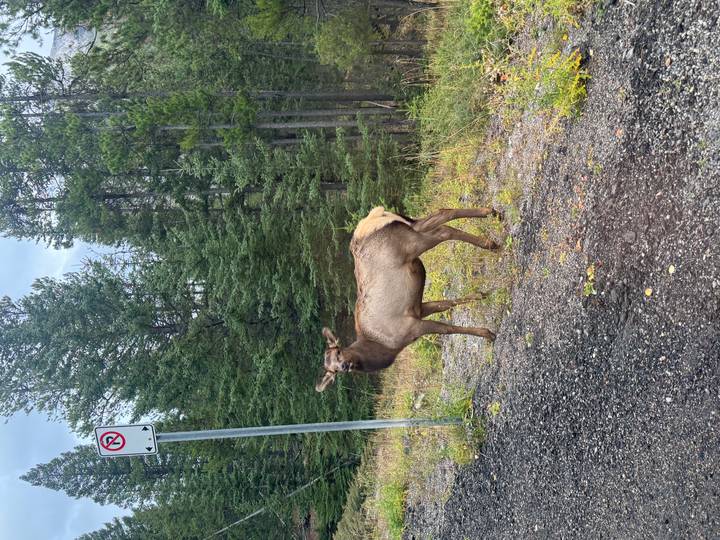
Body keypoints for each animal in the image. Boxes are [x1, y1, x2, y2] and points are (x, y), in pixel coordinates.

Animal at [316, 206, 502, 392]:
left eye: (338, 352)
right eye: (333, 369)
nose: (345, 365)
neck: (386, 349)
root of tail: (371, 217)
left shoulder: (412, 327)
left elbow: (446, 329)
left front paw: (487, 334)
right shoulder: (418, 309)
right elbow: (446, 304)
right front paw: (480, 295)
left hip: (409, 244)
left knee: (443, 228)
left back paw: (490, 240)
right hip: (408, 227)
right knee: (440, 219)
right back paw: (490, 213)